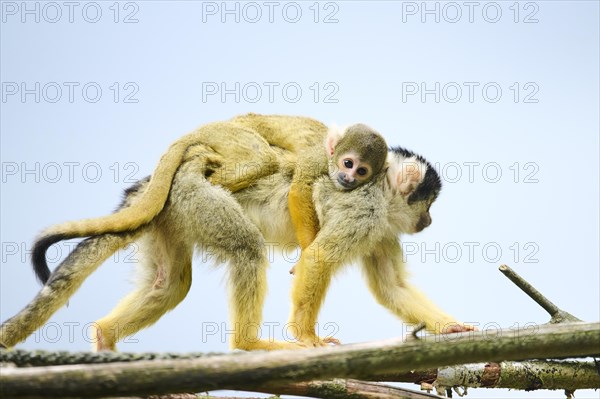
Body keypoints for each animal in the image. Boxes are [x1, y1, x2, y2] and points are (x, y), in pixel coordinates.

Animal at [0, 114, 474, 352]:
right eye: (428, 204)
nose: (428, 222)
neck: (381, 192)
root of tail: (162, 179)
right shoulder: (365, 212)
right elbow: (318, 258)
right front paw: (306, 335)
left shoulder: (381, 229)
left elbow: (392, 288)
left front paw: (451, 328)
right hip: (198, 195)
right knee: (246, 248)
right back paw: (249, 344)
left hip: (176, 213)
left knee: (169, 284)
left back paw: (105, 336)